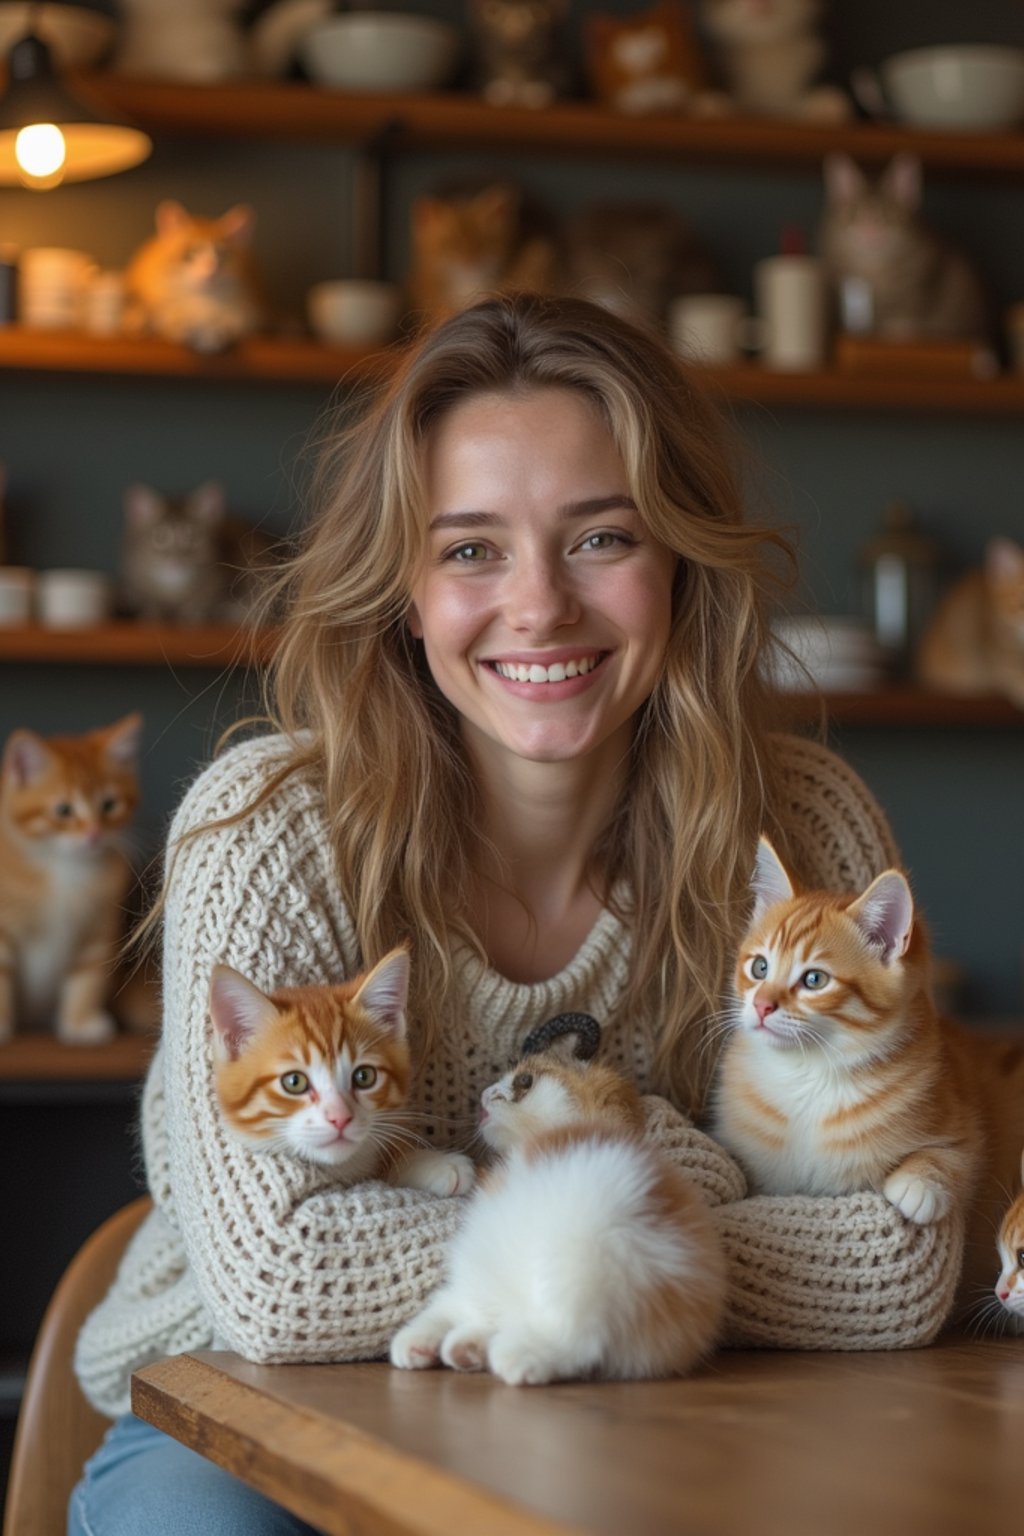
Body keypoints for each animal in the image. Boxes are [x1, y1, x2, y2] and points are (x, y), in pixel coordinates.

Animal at [0, 715, 143, 1044]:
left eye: (109, 804)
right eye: (63, 810)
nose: (94, 834)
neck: (64, 869)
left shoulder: (99, 929)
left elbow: (87, 977)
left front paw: (80, 1022)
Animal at [388, 1050, 724, 1388]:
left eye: (524, 1081)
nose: (483, 1094)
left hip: (584, 1266)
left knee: (573, 1338)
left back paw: (512, 1355)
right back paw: (452, 1347)